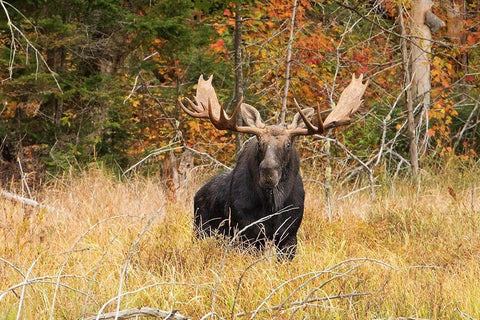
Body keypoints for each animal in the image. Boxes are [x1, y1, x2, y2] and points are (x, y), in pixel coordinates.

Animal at [180, 75, 368, 260]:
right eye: (260, 143)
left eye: (287, 144)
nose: (268, 172)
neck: (272, 205)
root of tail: (198, 193)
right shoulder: (248, 233)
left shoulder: (289, 235)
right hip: (201, 229)